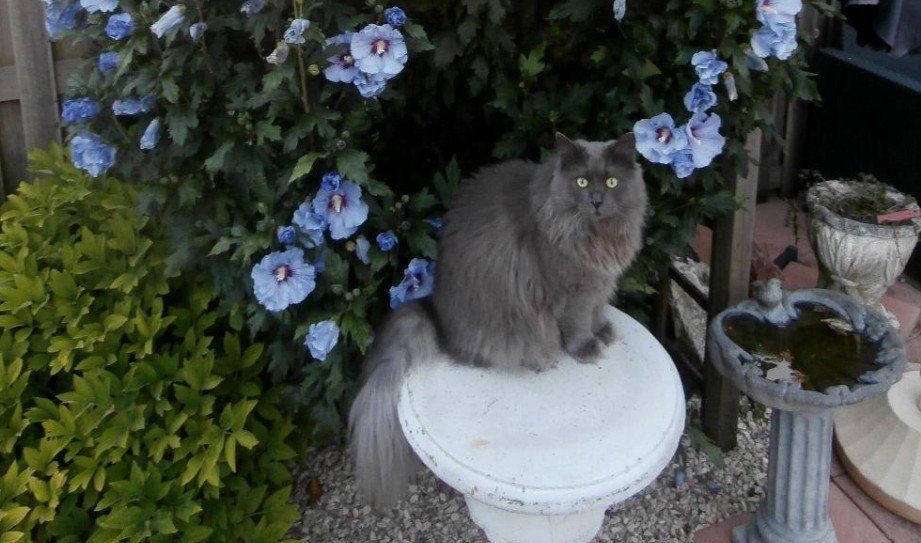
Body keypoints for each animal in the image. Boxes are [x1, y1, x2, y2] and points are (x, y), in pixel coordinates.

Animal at [346, 134, 648, 508]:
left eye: (611, 182)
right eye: (581, 182)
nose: (595, 200)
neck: (598, 236)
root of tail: (437, 314)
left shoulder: (599, 284)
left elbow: (597, 312)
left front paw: (603, 331)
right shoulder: (574, 290)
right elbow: (578, 324)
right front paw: (587, 349)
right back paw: (538, 361)